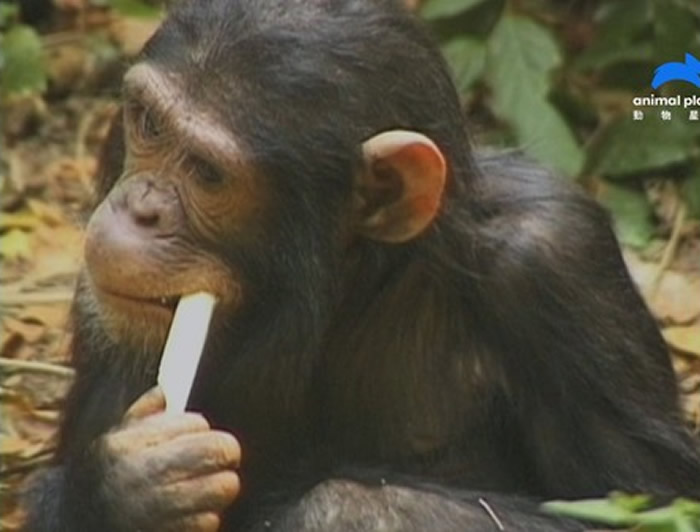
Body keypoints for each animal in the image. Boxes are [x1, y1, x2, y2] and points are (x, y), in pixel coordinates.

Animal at [21, 1, 700, 532]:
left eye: (208, 174)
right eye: (149, 124)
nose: (139, 208)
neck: (354, 284)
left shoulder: (560, 261)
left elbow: (641, 504)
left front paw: (343, 511)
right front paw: (127, 487)